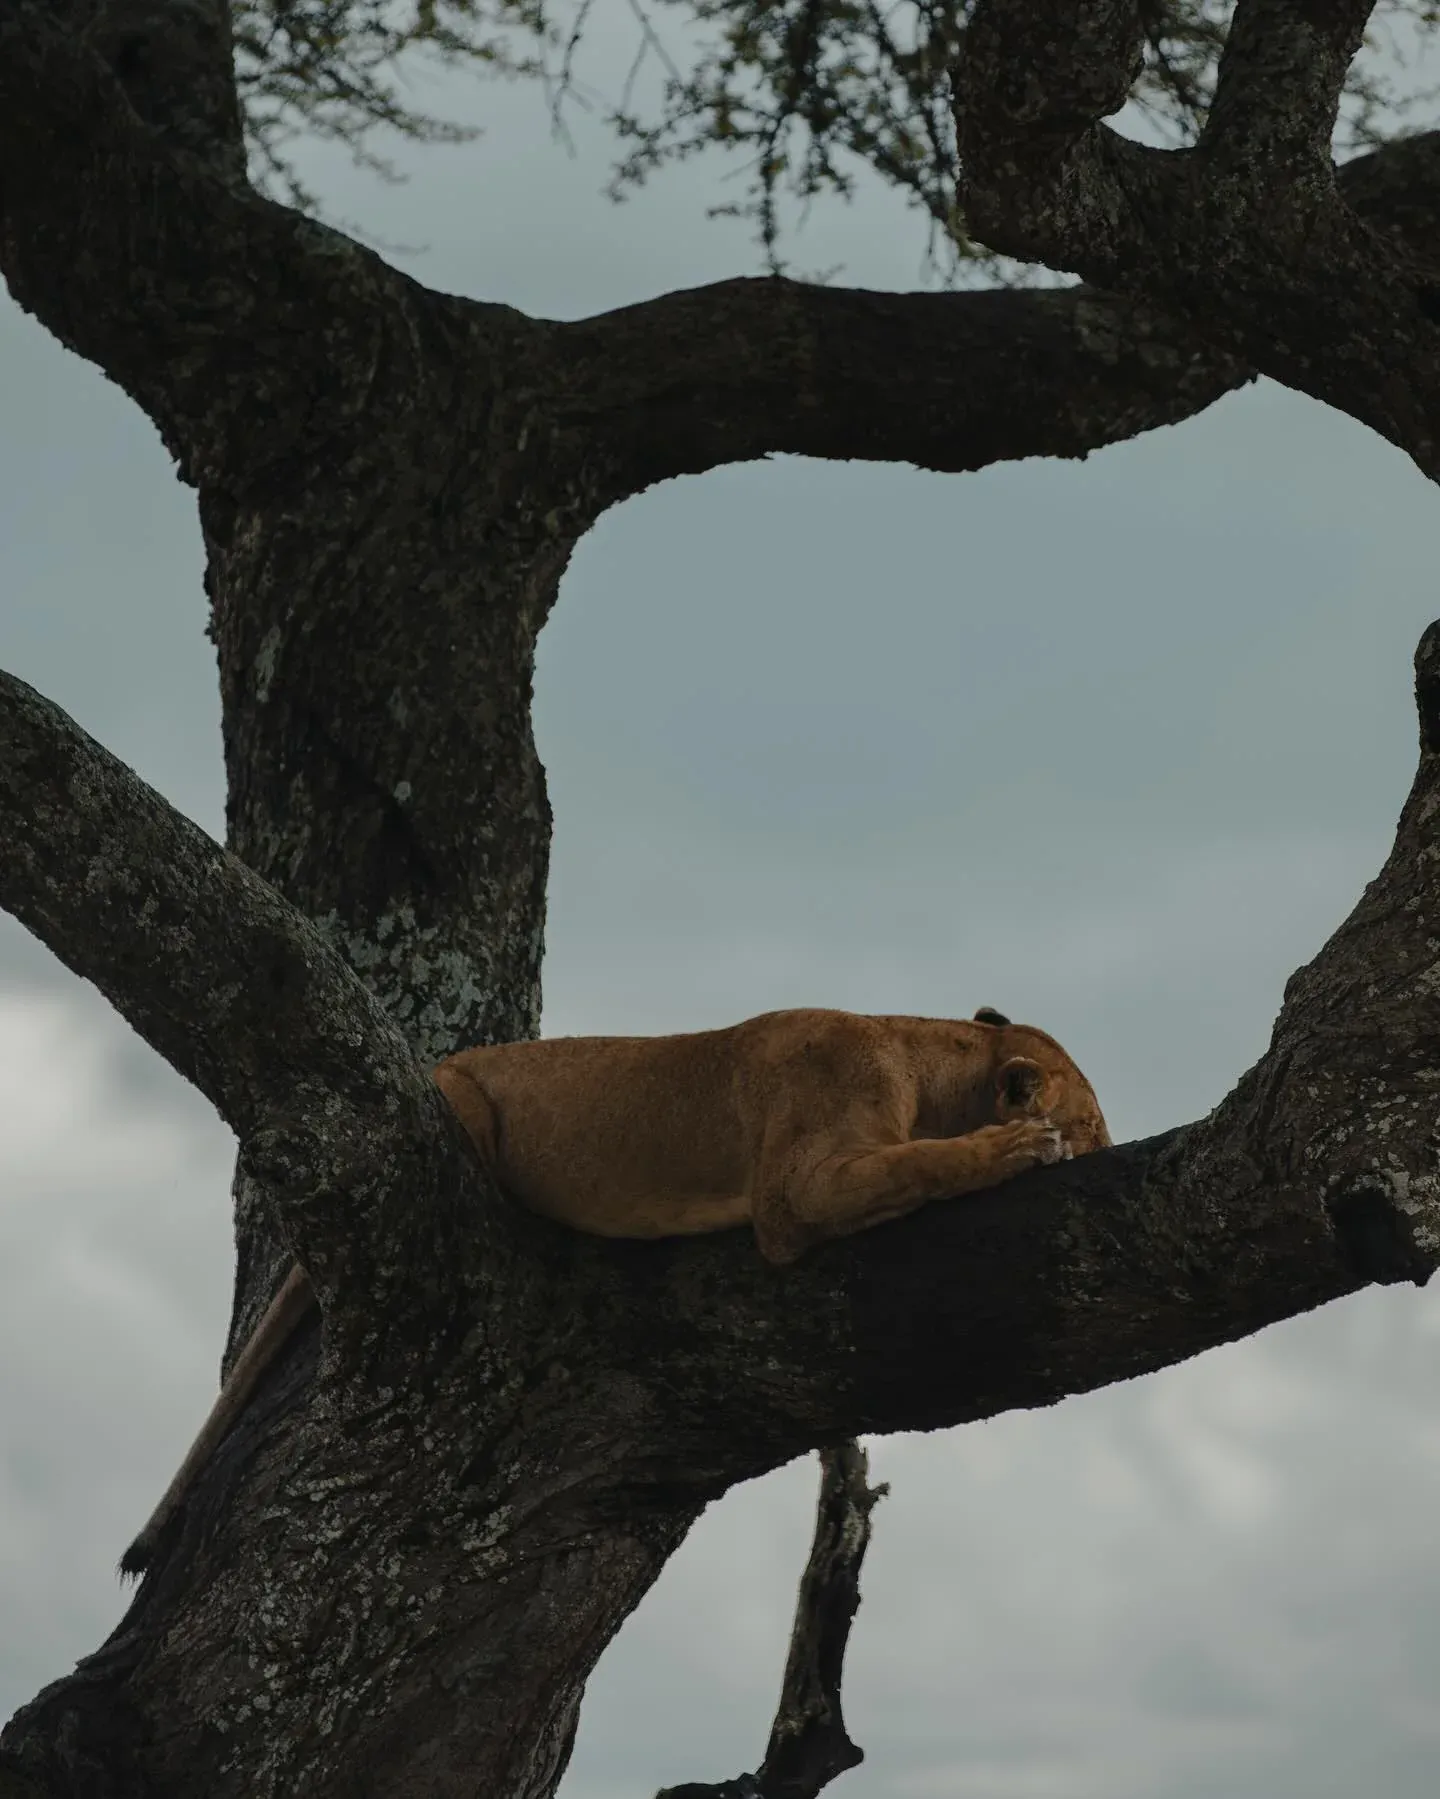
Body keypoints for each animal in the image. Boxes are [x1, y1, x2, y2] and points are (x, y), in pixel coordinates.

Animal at [120, 1006, 1108, 1574]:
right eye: (1096, 1125)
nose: (1099, 1147)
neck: (930, 1055)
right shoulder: (797, 1192)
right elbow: (923, 1164)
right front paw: (1021, 1148)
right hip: (459, 1102)